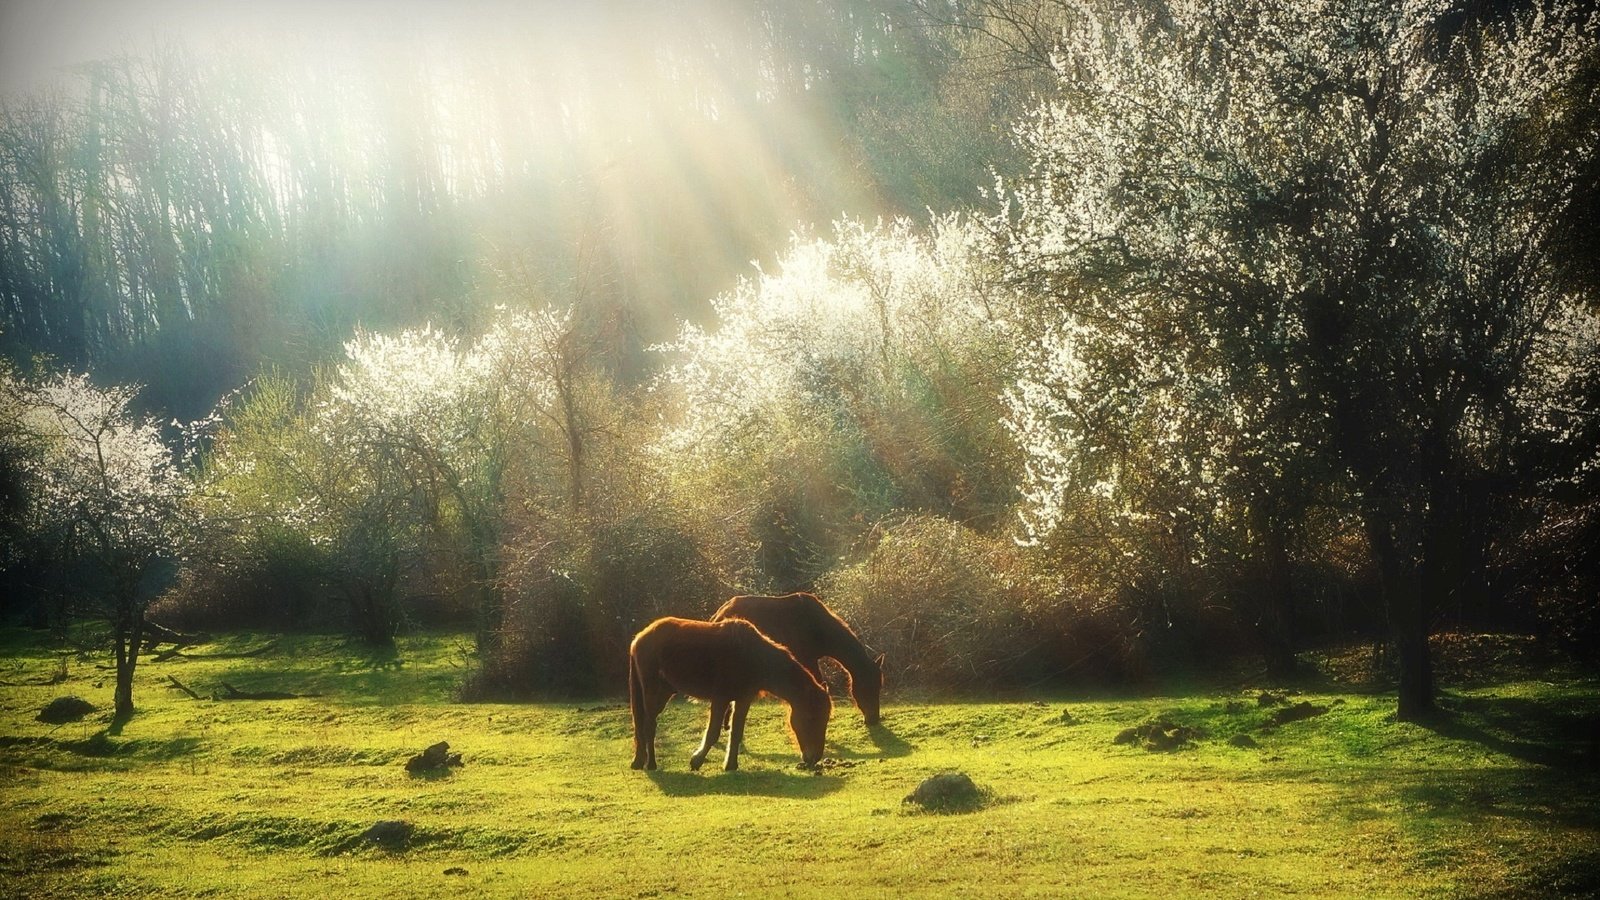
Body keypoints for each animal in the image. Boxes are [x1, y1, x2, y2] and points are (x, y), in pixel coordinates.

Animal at [624, 614, 832, 771]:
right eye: (812, 718)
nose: (814, 758)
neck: (753, 656)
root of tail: (639, 638)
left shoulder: (742, 700)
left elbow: (736, 732)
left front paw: (730, 765)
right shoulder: (720, 699)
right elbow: (713, 733)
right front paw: (696, 760)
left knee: (642, 725)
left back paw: (639, 761)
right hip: (653, 694)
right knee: (648, 726)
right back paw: (651, 764)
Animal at [713, 592, 889, 723]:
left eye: (879, 686)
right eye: (867, 687)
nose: (874, 719)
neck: (817, 627)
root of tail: (719, 614)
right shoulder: (807, 660)